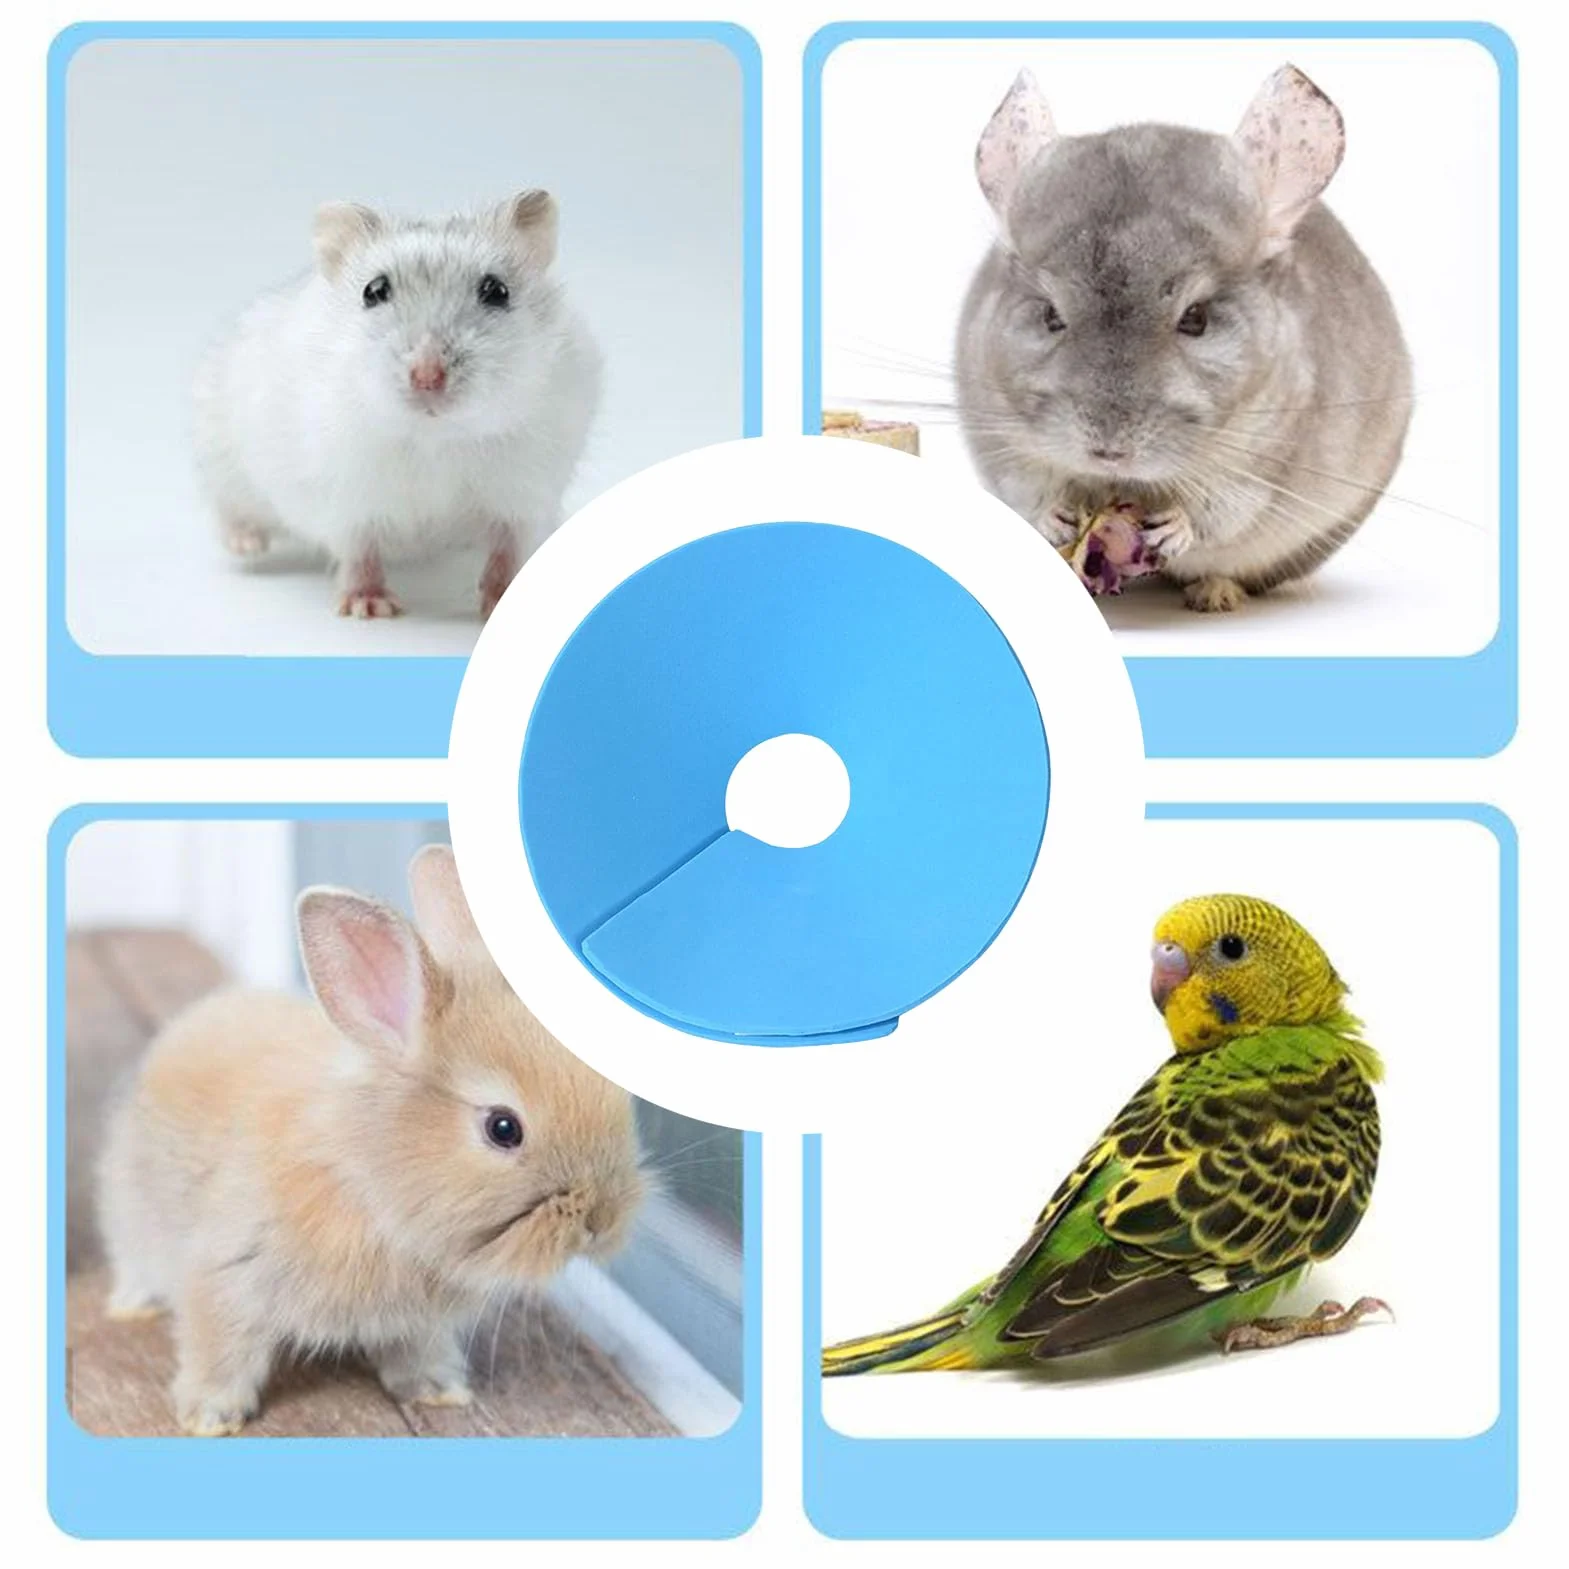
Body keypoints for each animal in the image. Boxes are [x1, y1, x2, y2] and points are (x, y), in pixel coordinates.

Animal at [96, 845, 644, 1436]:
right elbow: (218, 1350)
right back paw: (132, 1307)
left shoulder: (417, 1326)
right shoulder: (225, 1277)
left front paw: (440, 1393)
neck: (368, 1183)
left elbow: (416, 1356)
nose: (602, 1221)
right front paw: (210, 1417)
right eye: (503, 1128)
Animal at [192, 192, 601, 619]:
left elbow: (508, 551)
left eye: (497, 291)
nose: (428, 377)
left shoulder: (524, 495)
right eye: (373, 291)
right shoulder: (346, 498)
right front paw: (370, 607)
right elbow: (359, 551)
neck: (435, 437)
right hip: (220, 454)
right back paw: (248, 546)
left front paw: (501, 600)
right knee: (230, 509)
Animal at [956, 64, 1412, 611]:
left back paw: (1213, 594)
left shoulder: (1264, 461)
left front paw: (1174, 528)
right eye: (1050, 316)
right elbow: (1026, 485)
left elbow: (1220, 510)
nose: (1109, 451)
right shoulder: (997, 434)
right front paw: (1055, 517)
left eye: (1196, 319)